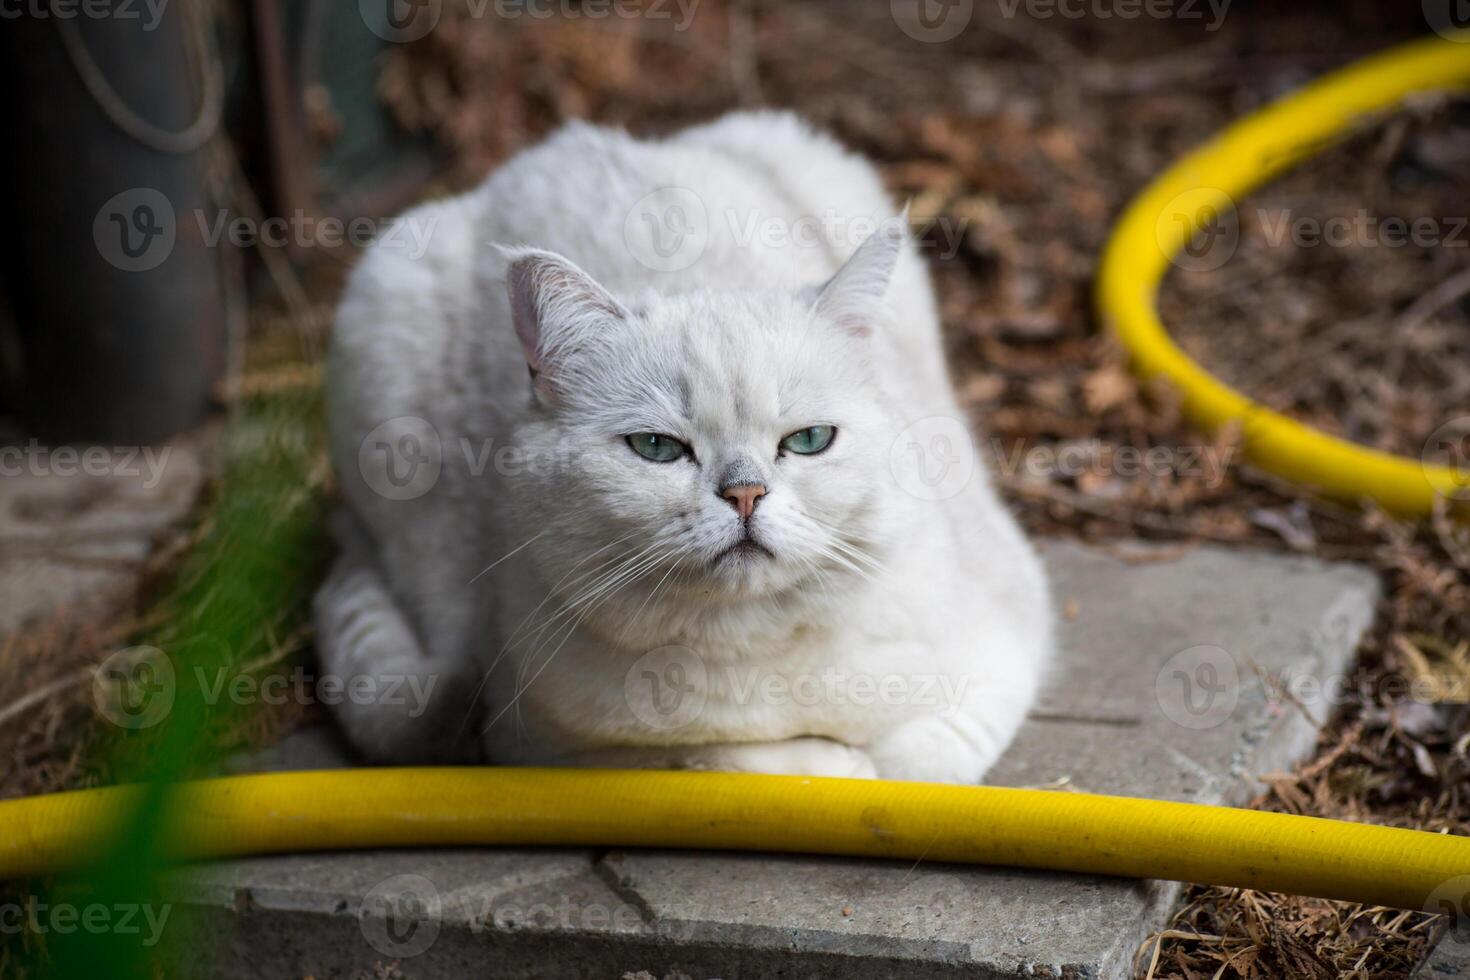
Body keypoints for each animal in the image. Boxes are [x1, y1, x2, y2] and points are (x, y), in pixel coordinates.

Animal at [316, 110, 1052, 781]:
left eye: (809, 441)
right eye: (657, 448)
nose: (745, 494)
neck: (754, 658)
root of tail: (552, 149)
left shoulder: (1007, 648)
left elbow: (915, 760)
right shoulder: (538, 743)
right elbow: (729, 758)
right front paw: (827, 763)